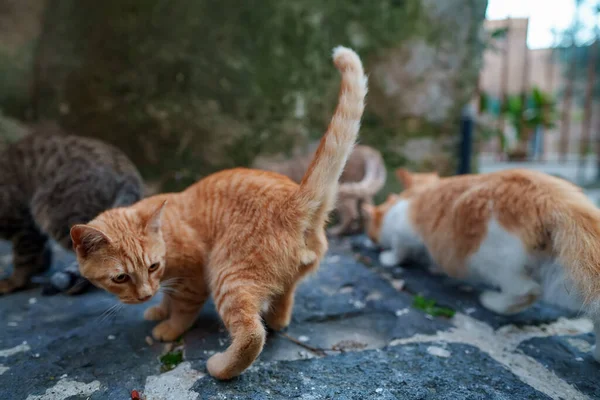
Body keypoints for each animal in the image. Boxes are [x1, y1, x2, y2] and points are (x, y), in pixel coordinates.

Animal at [68, 46, 368, 378]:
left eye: (151, 266)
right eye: (121, 277)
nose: (144, 294)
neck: (168, 239)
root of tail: (296, 199)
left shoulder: (194, 276)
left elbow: (183, 308)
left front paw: (169, 327)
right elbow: (168, 295)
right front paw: (158, 308)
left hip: (228, 276)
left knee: (252, 333)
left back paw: (220, 366)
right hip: (282, 280)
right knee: (281, 307)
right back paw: (276, 319)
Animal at [364, 169, 600, 362]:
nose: (371, 241)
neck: (415, 194)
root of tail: (553, 198)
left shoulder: (404, 230)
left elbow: (399, 248)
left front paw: (389, 258)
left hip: (491, 258)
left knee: (528, 291)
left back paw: (491, 301)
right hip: (569, 277)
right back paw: (596, 354)